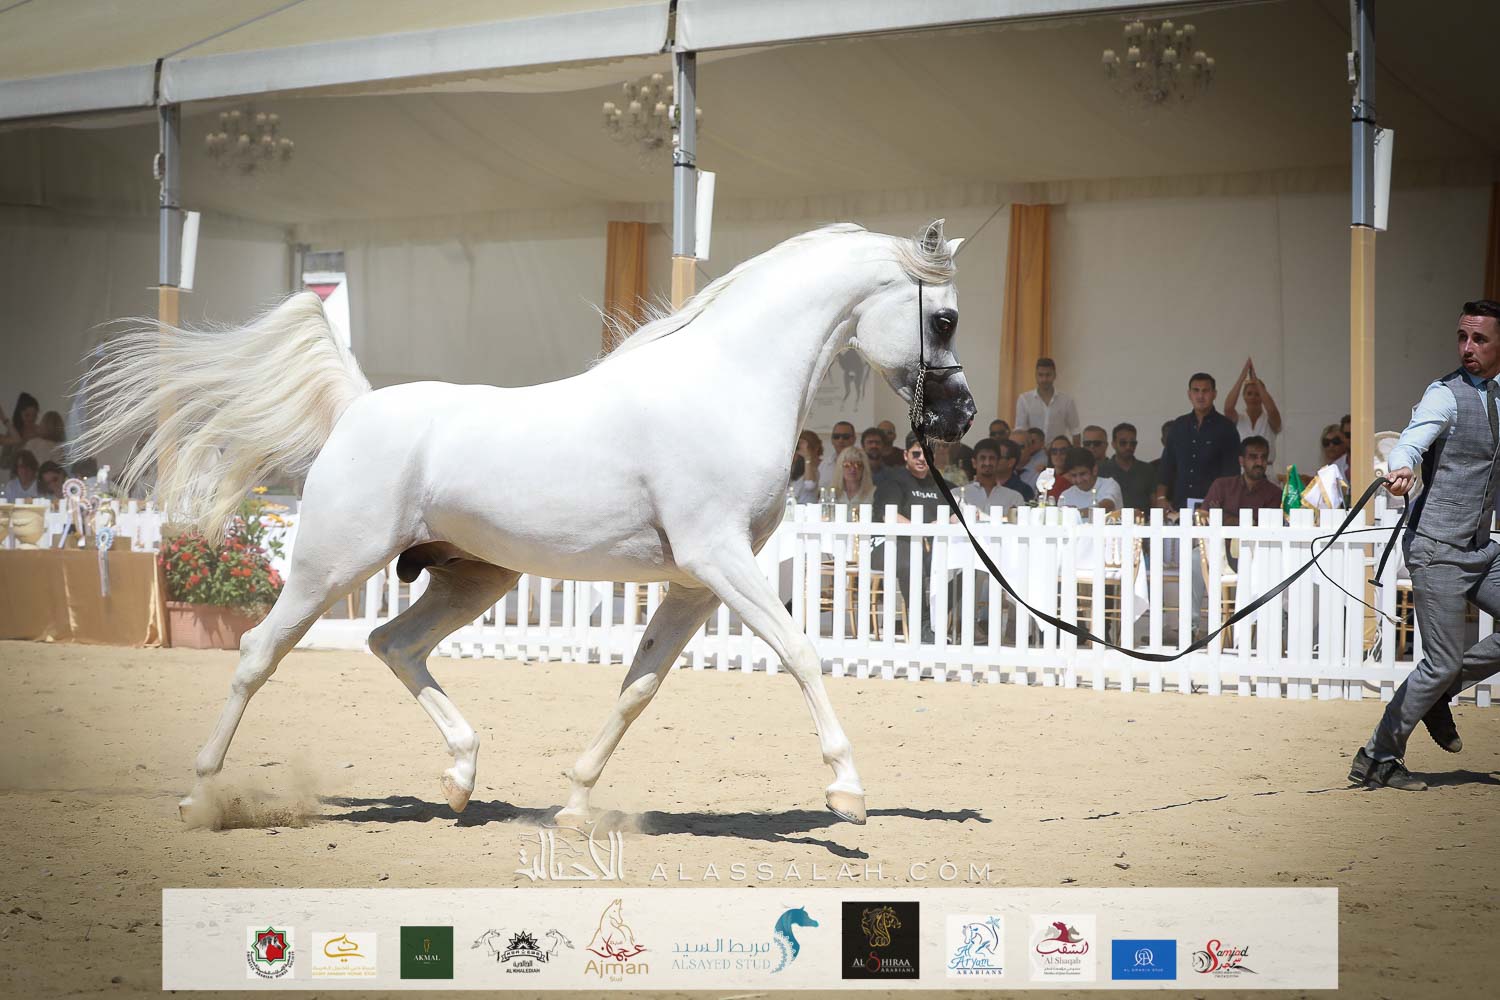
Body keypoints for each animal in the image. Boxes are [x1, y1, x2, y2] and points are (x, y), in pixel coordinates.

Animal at [74, 219, 976, 826]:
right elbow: (801, 653)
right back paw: (200, 796)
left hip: (474, 576)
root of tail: (360, 407)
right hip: (331, 565)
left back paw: (460, 781)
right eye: (944, 319)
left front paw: (575, 805)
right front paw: (847, 792)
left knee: (393, 644)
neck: (726, 382)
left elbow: (638, 687)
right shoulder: (721, 562)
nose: (960, 417)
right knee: (259, 653)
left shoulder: (695, 585)